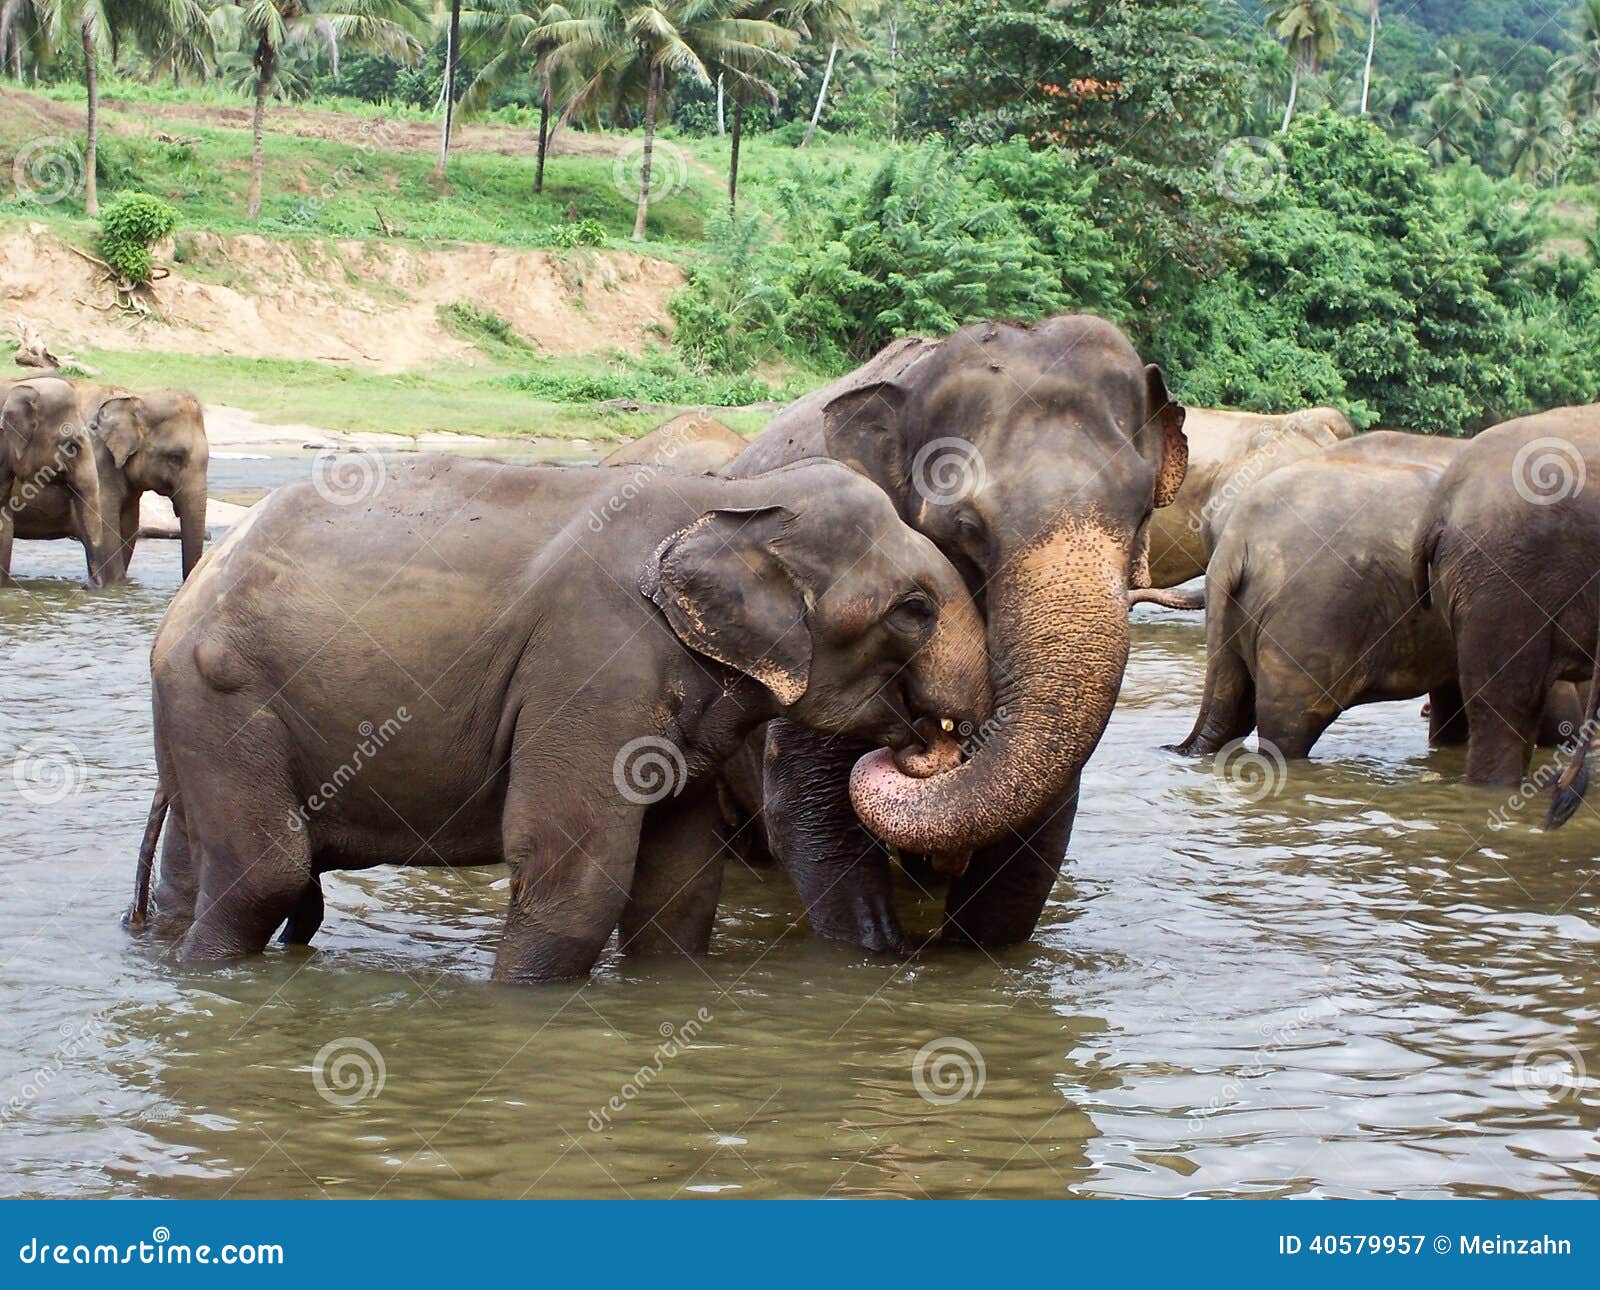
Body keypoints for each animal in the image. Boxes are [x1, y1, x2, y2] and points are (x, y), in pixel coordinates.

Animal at [131, 451, 992, 979]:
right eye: (913, 610)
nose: (929, 744)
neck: (726, 497)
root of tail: (194, 584)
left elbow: (678, 890)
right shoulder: (590, 665)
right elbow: (574, 872)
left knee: (203, 871)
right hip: (223, 694)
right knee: (266, 877)